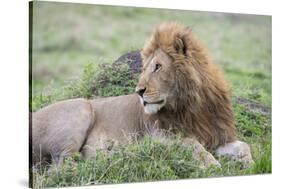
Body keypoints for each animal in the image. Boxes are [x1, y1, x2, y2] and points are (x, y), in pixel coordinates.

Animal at [31, 22, 253, 168]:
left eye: (158, 67)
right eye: (145, 68)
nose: (139, 91)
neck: (192, 106)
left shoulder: (217, 135)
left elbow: (245, 146)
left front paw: (248, 163)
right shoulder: (159, 134)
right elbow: (193, 144)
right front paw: (212, 164)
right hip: (80, 109)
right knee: (62, 167)